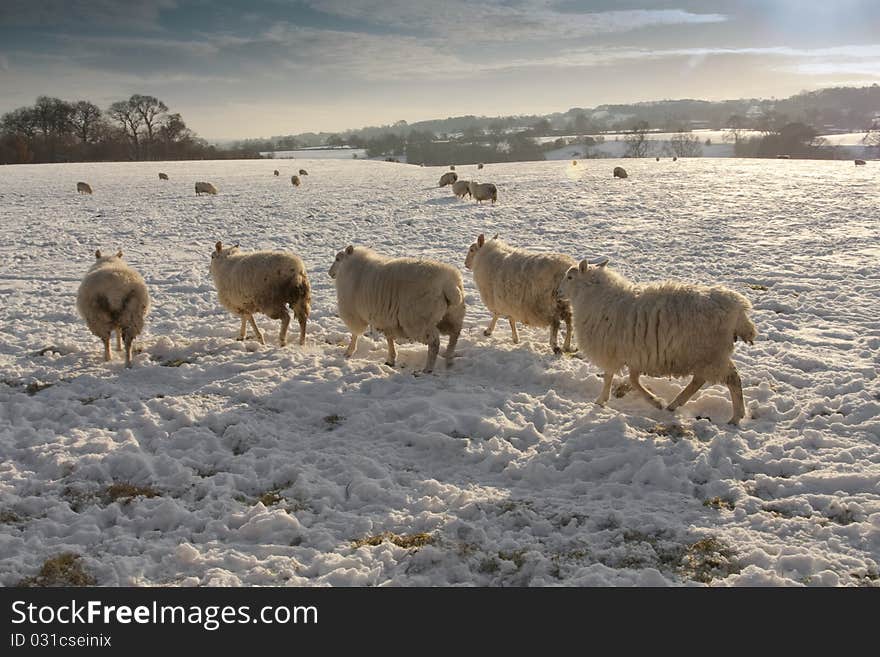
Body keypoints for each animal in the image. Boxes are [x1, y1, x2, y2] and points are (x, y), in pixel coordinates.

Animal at [330, 243, 468, 372]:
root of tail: (449, 285)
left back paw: (428, 369)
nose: (330, 273)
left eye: (337, 259)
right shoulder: (386, 318)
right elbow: (389, 338)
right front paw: (391, 359)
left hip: (418, 320)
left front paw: (349, 351)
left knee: (434, 342)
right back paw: (449, 360)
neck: (351, 267)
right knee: (455, 334)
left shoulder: (353, 313)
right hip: (452, 315)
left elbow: (354, 334)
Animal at [556, 258, 756, 422]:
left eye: (570, 277)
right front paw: (655, 401)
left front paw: (601, 401)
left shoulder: (611, 350)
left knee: (732, 379)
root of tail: (738, 307)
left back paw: (736, 417)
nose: (557, 292)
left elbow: (610, 377)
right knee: (699, 380)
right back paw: (674, 404)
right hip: (705, 355)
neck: (597, 298)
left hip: (710, 352)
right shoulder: (635, 353)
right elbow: (632, 379)